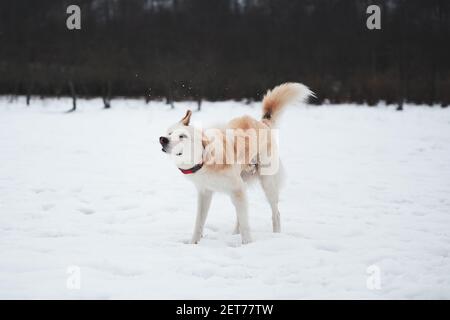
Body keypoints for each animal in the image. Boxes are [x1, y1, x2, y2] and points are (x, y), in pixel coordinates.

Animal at [159, 82, 312, 245]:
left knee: (275, 213)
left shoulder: (237, 190)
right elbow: (199, 223)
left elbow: (246, 225)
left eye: (182, 136)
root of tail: (262, 123)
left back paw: (276, 235)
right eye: (169, 133)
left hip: (266, 184)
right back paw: (234, 234)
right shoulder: (205, 194)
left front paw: (248, 245)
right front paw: (193, 243)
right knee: (241, 215)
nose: (163, 139)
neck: (205, 159)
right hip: (242, 186)